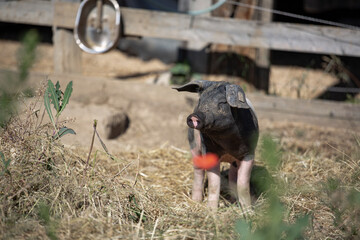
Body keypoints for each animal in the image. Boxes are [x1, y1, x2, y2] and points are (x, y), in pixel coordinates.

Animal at [173, 79, 258, 209]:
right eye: (200, 100)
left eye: (223, 102)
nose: (195, 116)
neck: (228, 142)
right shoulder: (209, 150)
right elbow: (214, 183)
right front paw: (211, 211)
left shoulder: (249, 153)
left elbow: (243, 184)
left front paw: (248, 210)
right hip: (193, 145)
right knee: (198, 172)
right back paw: (196, 201)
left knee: (233, 175)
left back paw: (233, 201)